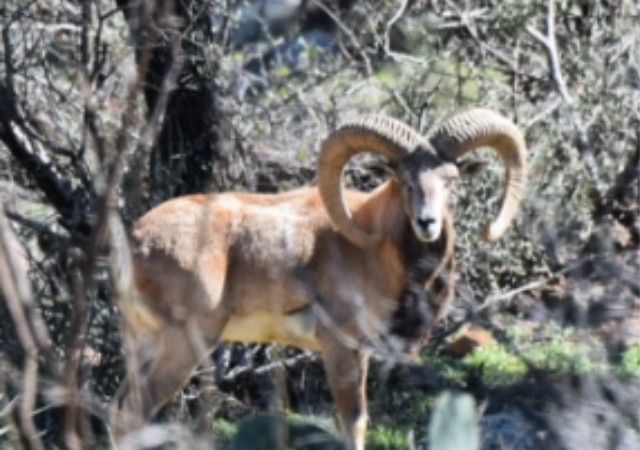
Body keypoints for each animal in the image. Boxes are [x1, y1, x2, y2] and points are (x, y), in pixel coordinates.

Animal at [110, 108, 527, 450]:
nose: (427, 222)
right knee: (133, 415)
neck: (373, 250)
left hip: (142, 343)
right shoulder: (340, 348)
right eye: (404, 179)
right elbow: (354, 423)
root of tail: (134, 243)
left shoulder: (359, 353)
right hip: (185, 344)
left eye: (451, 180)